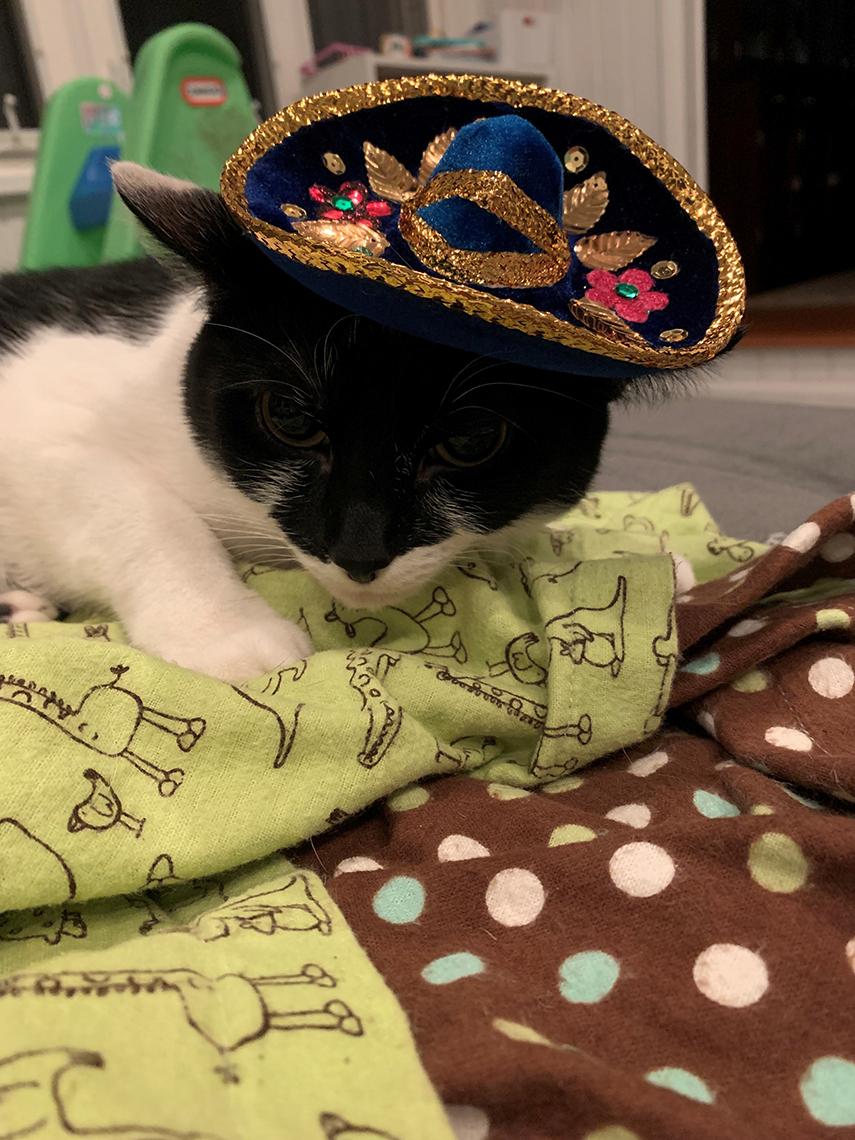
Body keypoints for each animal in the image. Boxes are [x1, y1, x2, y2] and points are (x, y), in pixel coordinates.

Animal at [0, 162, 632, 681]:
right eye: (288, 417)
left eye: (472, 440)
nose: (358, 553)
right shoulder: (42, 432)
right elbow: (136, 507)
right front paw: (227, 631)